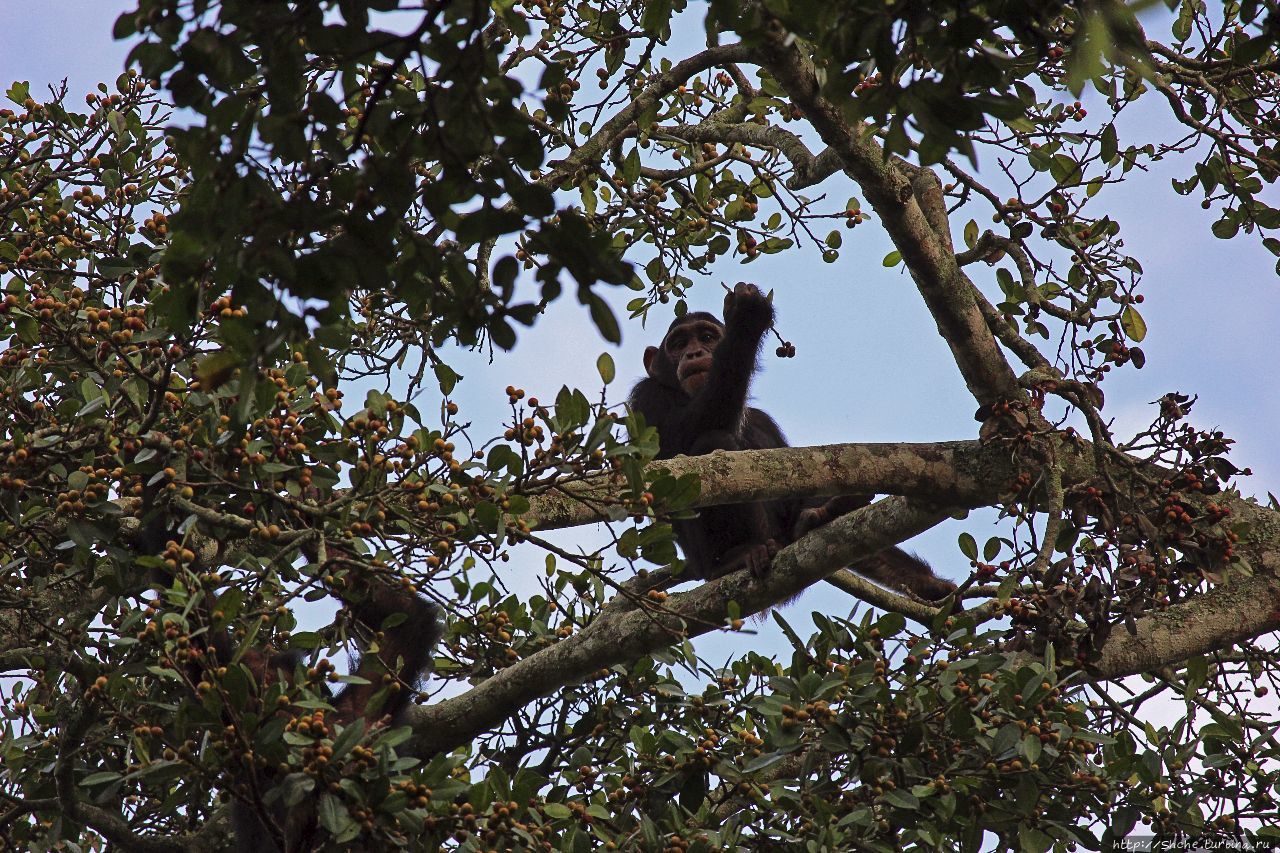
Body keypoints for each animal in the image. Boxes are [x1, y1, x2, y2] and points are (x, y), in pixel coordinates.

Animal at [629, 281, 962, 601]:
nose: (694, 353)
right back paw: (735, 557)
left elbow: (796, 493)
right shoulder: (647, 399)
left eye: (707, 337)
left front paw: (925, 582)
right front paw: (746, 318)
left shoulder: (765, 421)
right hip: (708, 562)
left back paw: (821, 517)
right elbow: (681, 444)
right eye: (679, 344)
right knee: (712, 443)